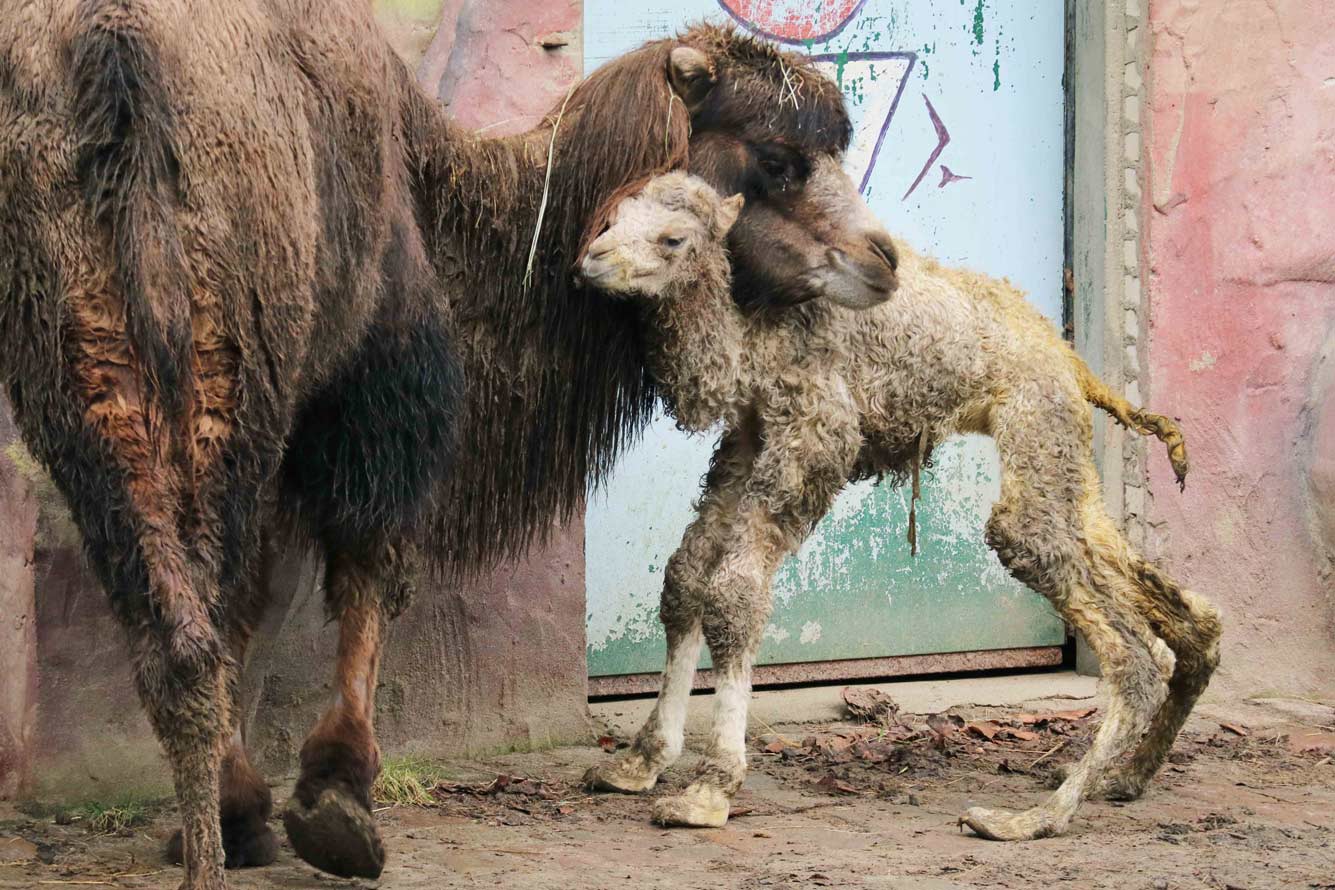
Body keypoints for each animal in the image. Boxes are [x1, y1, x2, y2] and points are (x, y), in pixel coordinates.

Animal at [579, 172, 1217, 843]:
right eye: (612, 219)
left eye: (673, 238)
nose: (592, 258)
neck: (750, 340)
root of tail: (1072, 358)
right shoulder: (749, 435)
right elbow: (685, 579)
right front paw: (638, 762)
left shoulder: (816, 430)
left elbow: (732, 595)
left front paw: (710, 790)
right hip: (1064, 443)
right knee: (1171, 602)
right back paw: (1126, 777)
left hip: (1034, 412)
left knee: (1112, 633)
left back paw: (1031, 817)